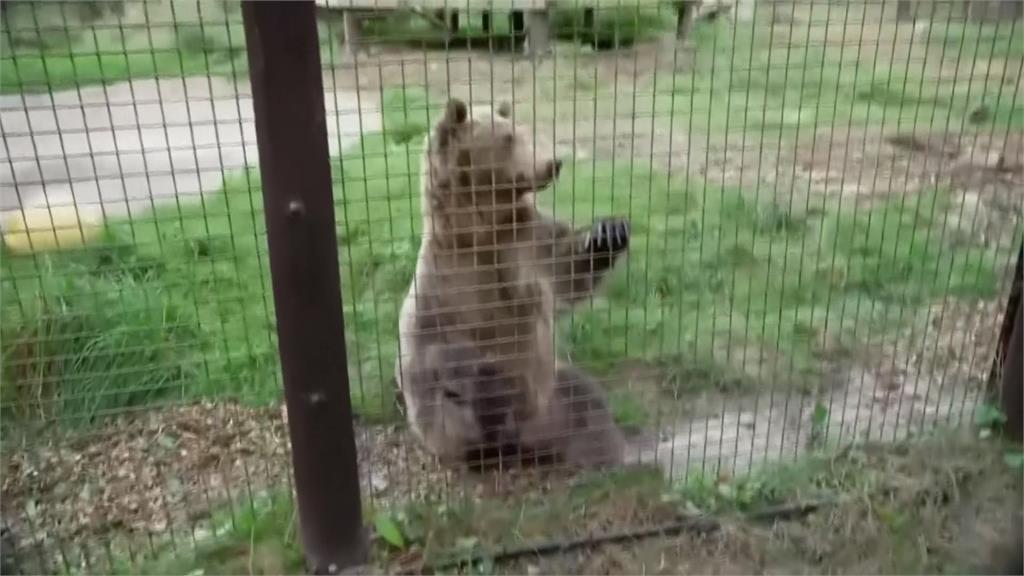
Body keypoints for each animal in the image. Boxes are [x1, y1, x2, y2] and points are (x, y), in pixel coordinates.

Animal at [395, 97, 626, 467]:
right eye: (508, 138)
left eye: (523, 130)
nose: (553, 163)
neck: (480, 233)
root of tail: (525, 441)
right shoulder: (444, 286)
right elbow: (442, 349)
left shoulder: (521, 242)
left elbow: (566, 269)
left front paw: (607, 233)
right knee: (447, 412)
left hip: (551, 396)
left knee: (587, 404)